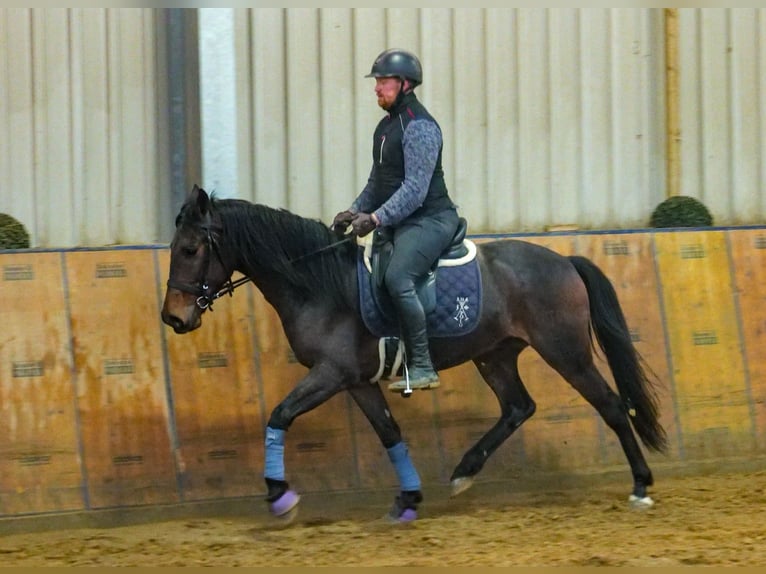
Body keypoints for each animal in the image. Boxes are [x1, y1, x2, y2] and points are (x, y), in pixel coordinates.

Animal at [160, 187, 664, 524]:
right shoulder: (355, 381)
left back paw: (641, 485)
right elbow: (389, 433)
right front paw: (407, 500)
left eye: (190, 249)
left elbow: (280, 414)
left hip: (566, 353)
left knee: (612, 406)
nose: (173, 318)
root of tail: (564, 262)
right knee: (518, 407)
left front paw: (279, 495)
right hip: (495, 355)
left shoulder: (330, 373)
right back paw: (463, 472)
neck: (320, 284)